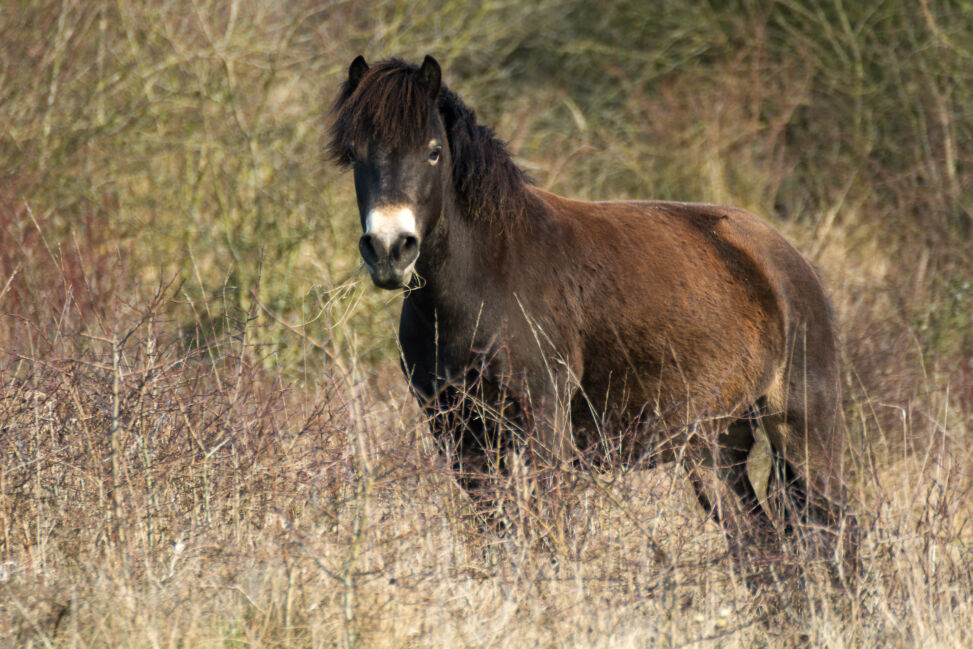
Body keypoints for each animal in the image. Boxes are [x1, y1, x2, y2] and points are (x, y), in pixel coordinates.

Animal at [329, 54, 855, 564]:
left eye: (433, 151)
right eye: (355, 154)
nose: (389, 249)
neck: (489, 279)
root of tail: (789, 261)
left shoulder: (543, 428)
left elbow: (547, 535)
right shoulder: (458, 433)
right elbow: (495, 535)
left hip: (805, 432)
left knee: (836, 534)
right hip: (714, 449)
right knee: (757, 544)